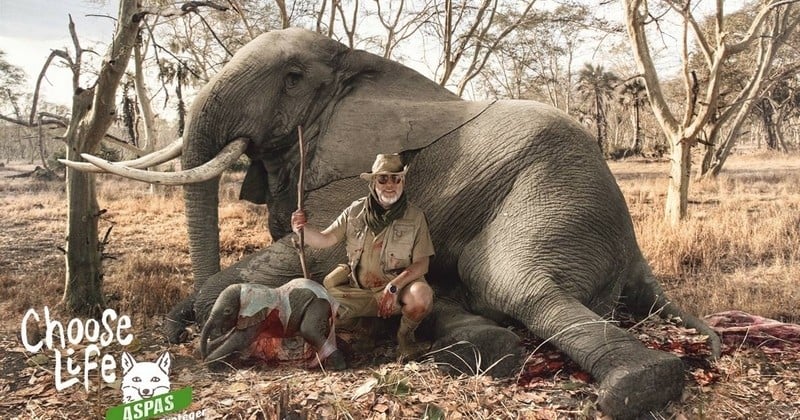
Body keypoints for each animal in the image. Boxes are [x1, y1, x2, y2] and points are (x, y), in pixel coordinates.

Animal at [200, 278, 344, 370]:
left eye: (227, 311)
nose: (203, 355)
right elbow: (231, 337)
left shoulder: (258, 315)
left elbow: (240, 340)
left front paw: (209, 362)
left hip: (318, 303)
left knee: (309, 330)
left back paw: (337, 367)